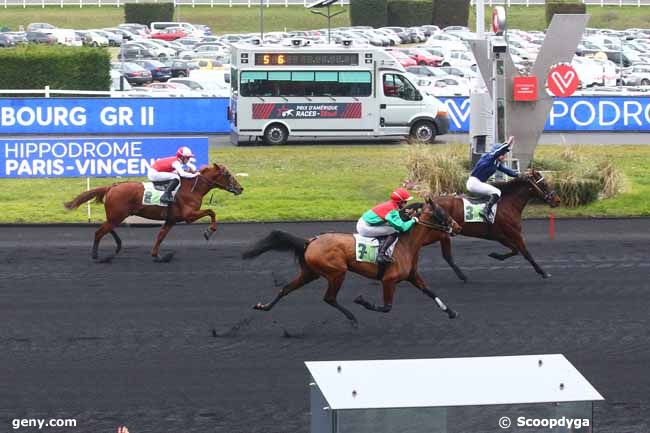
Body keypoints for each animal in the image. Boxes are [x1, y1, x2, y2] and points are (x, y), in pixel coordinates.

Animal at [64, 163, 243, 262]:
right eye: (227, 174)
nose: (240, 188)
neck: (191, 188)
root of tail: (112, 186)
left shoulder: (171, 220)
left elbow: (160, 236)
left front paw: (157, 256)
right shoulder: (188, 215)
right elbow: (211, 211)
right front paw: (209, 232)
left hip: (116, 216)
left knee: (107, 228)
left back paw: (118, 246)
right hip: (117, 216)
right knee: (99, 232)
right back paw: (97, 256)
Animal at [242, 199, 460, 328]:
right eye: (442, 212)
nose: (457, 227)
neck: (405, 244)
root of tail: (310, 241)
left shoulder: (412, 276)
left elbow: (430, 292)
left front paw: (451, 312)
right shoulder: (388, 280)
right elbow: (386, 307)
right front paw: (362, 301)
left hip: (310, 273)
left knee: (286, 288)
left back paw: (264, 306)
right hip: (337, 272)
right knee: (329, 298)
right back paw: (352, 317)